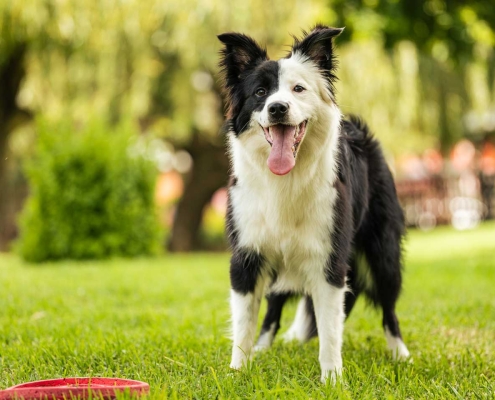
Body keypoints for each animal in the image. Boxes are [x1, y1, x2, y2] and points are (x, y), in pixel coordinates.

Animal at [218, 26, 410, 382]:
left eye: (298, 89)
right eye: (260, 92)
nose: (278, 108)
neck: (284, 180)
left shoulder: (329, 260)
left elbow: (330, 330)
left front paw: (332, 380)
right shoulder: (247, 255)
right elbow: (243, 323)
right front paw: (238, 372)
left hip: (384, 252)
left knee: (388, 306)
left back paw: (400, 353)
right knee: (273, 308)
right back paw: (264, 348)